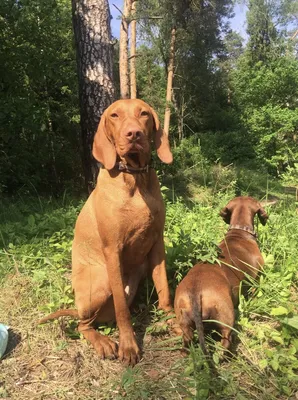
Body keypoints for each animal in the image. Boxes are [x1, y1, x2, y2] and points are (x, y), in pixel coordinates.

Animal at [39, 99, 175, 366]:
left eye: (144, 113)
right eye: (114, 116)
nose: (134, 134)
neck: (134, 178)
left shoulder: (158, 243)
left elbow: (164, 289)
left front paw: (176, 321)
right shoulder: (113, 250)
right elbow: (122, 310)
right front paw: (129, 345)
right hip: (101, 281)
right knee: (83, 325)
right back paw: (103, 342)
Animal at [172, 197, 268, 354]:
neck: (238, 232)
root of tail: (195, 292)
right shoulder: (257, 278)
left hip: (184, 323)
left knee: (187, 340)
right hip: (226, 317)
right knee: (225, 341)